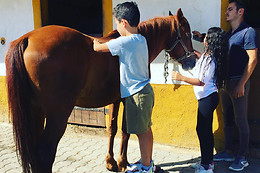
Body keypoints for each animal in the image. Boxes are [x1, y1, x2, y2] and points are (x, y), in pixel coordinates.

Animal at [5, 8, 196, 173]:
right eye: (187, 34)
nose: (192, 61)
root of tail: (27, 38)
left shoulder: (115, 99)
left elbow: (112, 128)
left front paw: (110, 162)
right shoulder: (127, 99)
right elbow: (125, 130)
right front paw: (123, 163)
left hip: (35, 111)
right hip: (57, 115)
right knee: (45, 153)